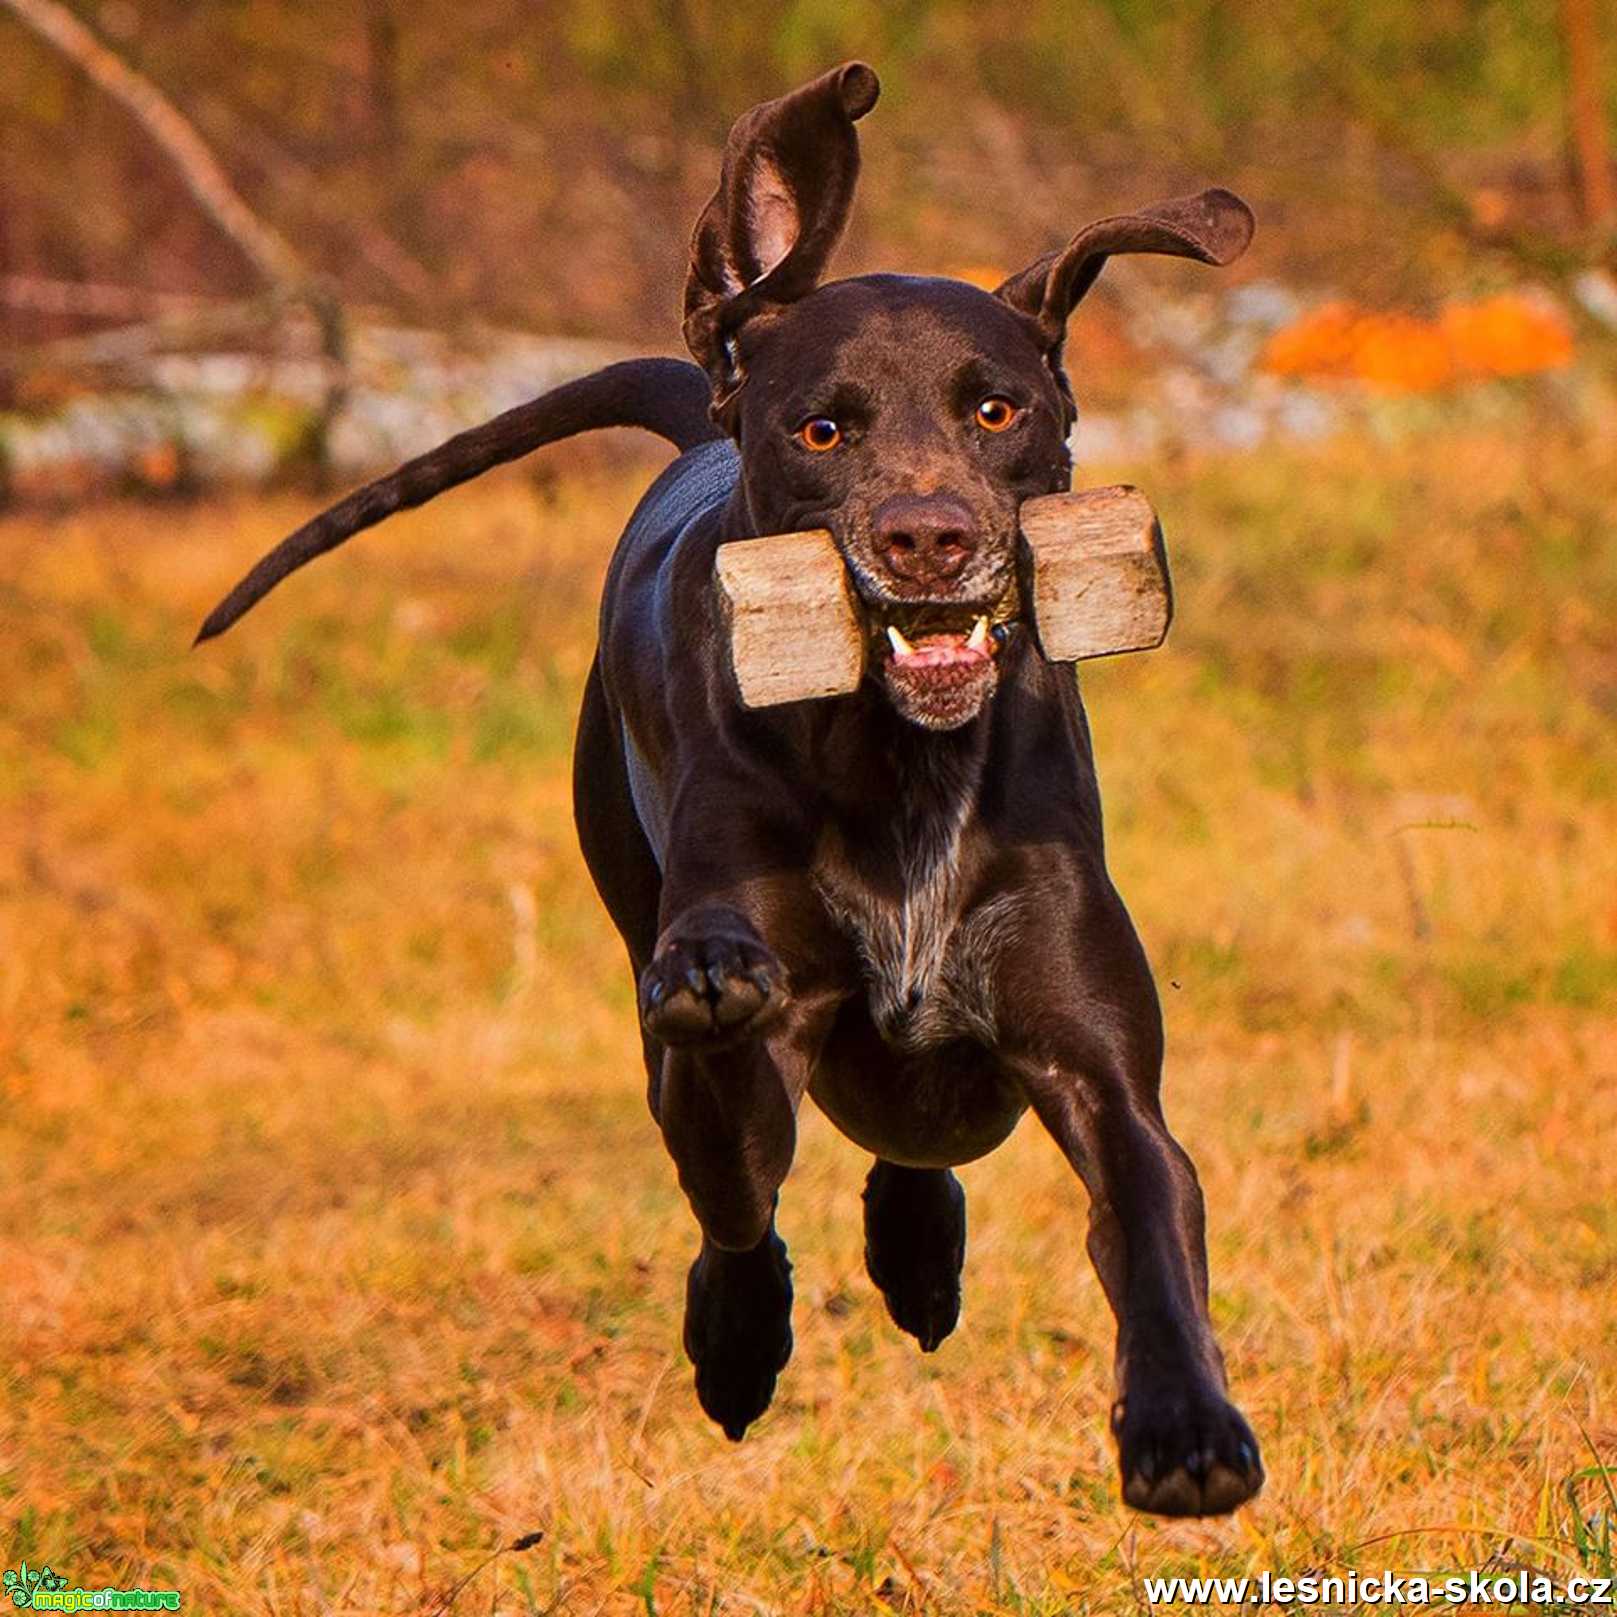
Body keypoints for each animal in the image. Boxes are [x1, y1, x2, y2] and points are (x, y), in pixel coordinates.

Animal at [198, 53, 1261, 1513]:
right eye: (823, 430)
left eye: (997, 409)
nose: (927, 539)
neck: (901, 762)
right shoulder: (729, 1046)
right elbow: (737, 1191)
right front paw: (739, 1325)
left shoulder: (1104, 1074)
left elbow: (1151, 1225)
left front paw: (1185, 1431)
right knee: (751, 1189)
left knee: (916, 1135)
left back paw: (918, 1251)